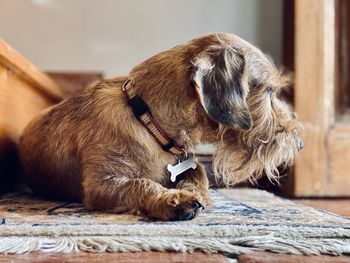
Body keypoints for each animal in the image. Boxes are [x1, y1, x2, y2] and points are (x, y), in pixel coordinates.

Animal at [19, 33, 304, 223]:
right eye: (269, 90)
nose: (300, 143)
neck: (148, 121)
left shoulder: (193, 166)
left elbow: (197, 177)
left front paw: (190, 194)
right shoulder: (101, 184)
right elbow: (139, 184)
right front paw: (171, 199)